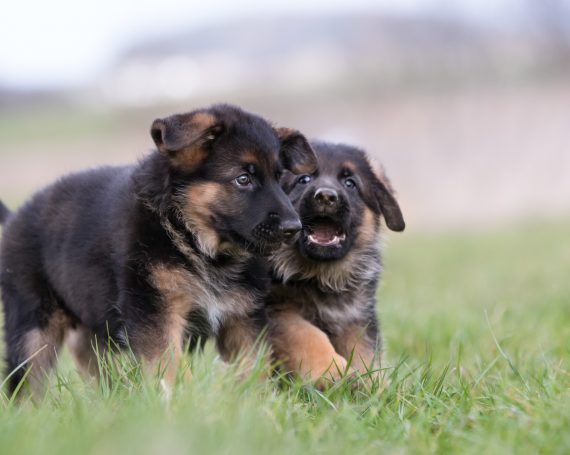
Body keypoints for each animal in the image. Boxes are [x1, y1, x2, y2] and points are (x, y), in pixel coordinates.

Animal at [0, 103, 316, 396]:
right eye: (243, 179)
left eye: (279, 178)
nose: (294, 227)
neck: (192, 238)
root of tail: (16, 216)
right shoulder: (154, 311)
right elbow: (169, 366)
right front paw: (179, 404)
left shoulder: (243, 317)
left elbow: (254, 370)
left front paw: (256, 407)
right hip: (33, 322)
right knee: (26, 379)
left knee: (88, 354)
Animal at [266, 142, 404, 388]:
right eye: (303, 179)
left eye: (350, 184)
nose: (326, 197)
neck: (321, 276)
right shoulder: (277, 309)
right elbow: (307, 335)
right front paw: (333, 373)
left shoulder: (355, 318)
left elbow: (365, 352)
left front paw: (376, 385)